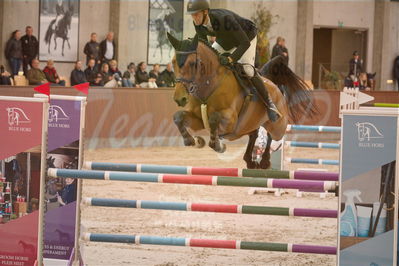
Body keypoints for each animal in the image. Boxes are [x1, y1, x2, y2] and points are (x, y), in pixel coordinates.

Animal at [168, 33, 316, 168]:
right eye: (173, 62)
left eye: (192, 63)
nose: (180, 98)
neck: (209, 86)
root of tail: (272, 84)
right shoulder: (198, 120)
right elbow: (178, 116)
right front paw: (191, 140)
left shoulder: (230, 120)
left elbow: (214, 118)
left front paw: (218, 145)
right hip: (250, 124)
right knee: (254, 134)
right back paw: (250, 161)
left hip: (278, 125)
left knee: (273, 136)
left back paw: (265, 160)